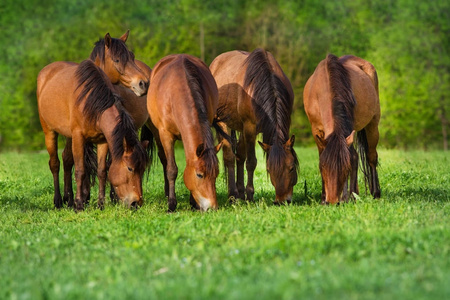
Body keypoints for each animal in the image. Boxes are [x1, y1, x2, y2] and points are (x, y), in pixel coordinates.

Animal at [36, 31, 149, 210]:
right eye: (130, 168)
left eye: (132, 56)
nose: (136, 203)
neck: (92, 101)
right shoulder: (78, 137)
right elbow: (81, 170)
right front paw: (79, 204)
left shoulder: (103, 140)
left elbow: (102, 170)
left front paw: (100, 203)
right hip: (49, 131)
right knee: (55, 163)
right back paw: (59, 201)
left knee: (66, 160)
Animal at [147, 54, 222, 213]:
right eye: (199, 175)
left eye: (216, 174)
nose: (213, 207)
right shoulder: (166, 135)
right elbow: (171, 169)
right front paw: (171, 204)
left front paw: (193, 203)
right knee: (164, 161)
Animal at [210, 48, 298, 204]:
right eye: (269, 169)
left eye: (292, 168)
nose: (282, 201)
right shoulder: (249, 128)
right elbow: (251, 162)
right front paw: (250, 195)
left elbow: (244, 157)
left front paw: (245, 193)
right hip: (223, 124)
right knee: (229, 157)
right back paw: (232, 195)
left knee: (239, 155)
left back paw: (239, 193)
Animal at [304, 53, 382, 204]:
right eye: (323, 168)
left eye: (345, 170)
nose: (332, 201)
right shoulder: (316, 131)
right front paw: (323, 198)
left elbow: (351, 158)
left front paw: (346, 196)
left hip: (372, 125)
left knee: (371, 157)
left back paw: (374, 193)